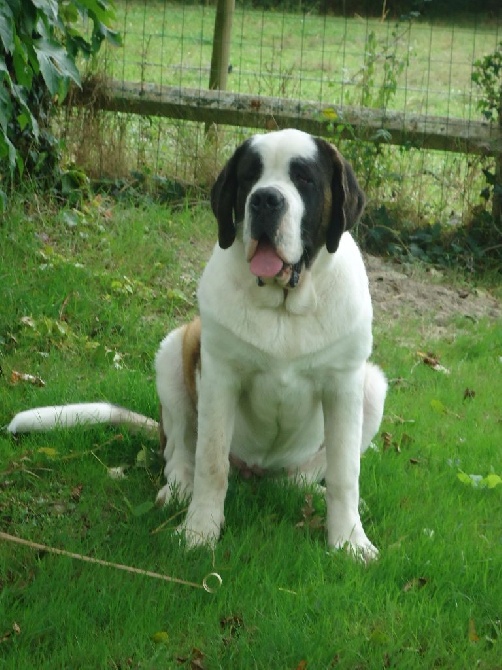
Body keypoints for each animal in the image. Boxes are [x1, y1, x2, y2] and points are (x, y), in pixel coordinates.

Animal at [7, 129, 386, 560]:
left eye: (304, 178)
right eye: (248, 177)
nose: (265, 199)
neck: (283, 308)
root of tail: (255, 472)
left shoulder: (344, 386)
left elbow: (344, 473)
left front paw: (349, 542)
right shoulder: (219, 378)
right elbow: (211, 462)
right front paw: (199, 533)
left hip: (372, 386)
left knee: (305, 474)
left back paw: (306, 492)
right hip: (175, 351)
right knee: (180, 452)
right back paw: (178, 489)